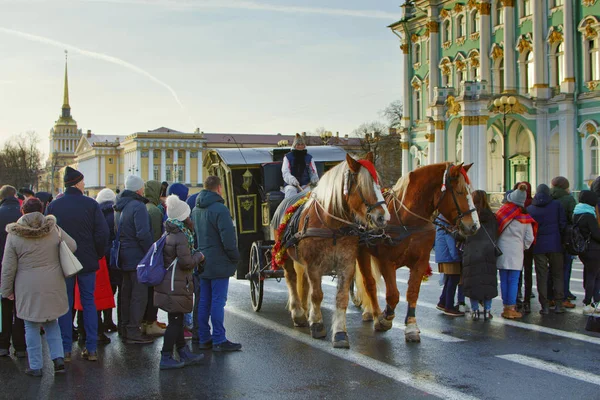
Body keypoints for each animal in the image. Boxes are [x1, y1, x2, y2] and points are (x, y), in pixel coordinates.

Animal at [272, 152, 390, 346]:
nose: (384, 217)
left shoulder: (346, 265)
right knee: (291, 279)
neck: (332, 225)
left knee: (302, 282)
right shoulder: (314, 266)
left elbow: (341, 298)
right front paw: (317, 324)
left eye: (378, 183)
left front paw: (340, 333)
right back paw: (298, 313)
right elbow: (317, 295)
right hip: (286, 257)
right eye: (362, 186)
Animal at [356, 161, 478, 342]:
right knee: (369, 283)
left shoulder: (420, 261)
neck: (408, 222)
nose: (475, 226)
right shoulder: (386, 261)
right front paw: (385, 319)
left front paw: (411, 326)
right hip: (362, 252)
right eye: (460, 192)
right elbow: (393, 294)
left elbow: (412, 292)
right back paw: (375, 314)